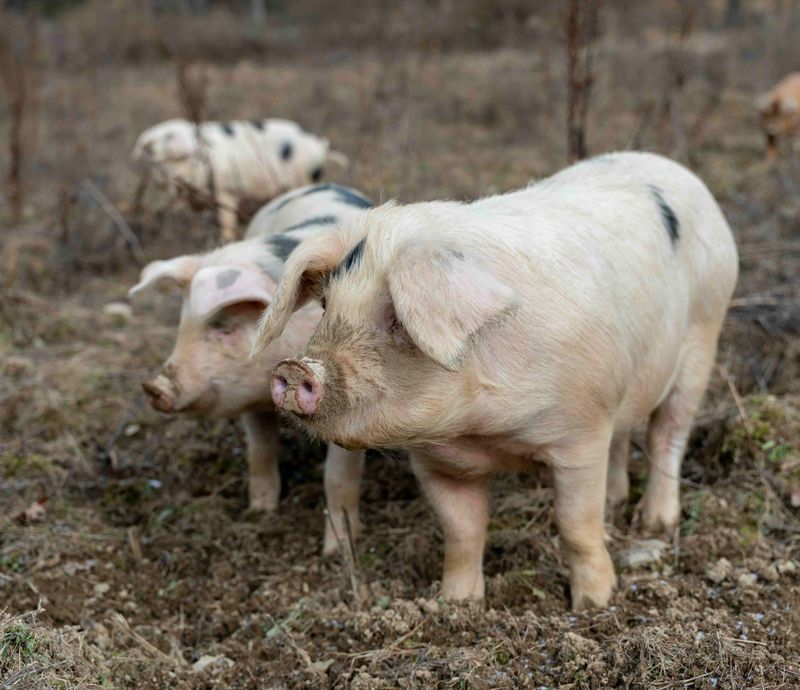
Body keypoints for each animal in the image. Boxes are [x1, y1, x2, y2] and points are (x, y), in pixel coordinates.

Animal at [129, 183, 373, 554]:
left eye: (224, 327)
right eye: (182, 325)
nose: (154, 387)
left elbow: (338, 477)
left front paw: (337, 552)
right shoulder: (250, 397)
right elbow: (259, 451)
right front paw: (260, 513)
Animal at [132, 118, 348, 241]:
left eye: (184, 158)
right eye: (156, 159)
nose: (177, 181)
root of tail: (321, 147)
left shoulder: (226, 190)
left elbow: (226, 220)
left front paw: (225, 240)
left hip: (303, 180)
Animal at [254, 152, 738, 610]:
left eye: (397, 317)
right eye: (325, 305)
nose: (294, 369)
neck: (484, 430)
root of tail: (674, 169)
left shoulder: (581, 433)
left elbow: (577, 525)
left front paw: (594, 604)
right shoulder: (437, 461)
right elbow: (462, 531)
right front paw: (456, 605)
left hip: (704, 337)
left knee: (667, 436)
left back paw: (654, 522)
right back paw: (619, 501)